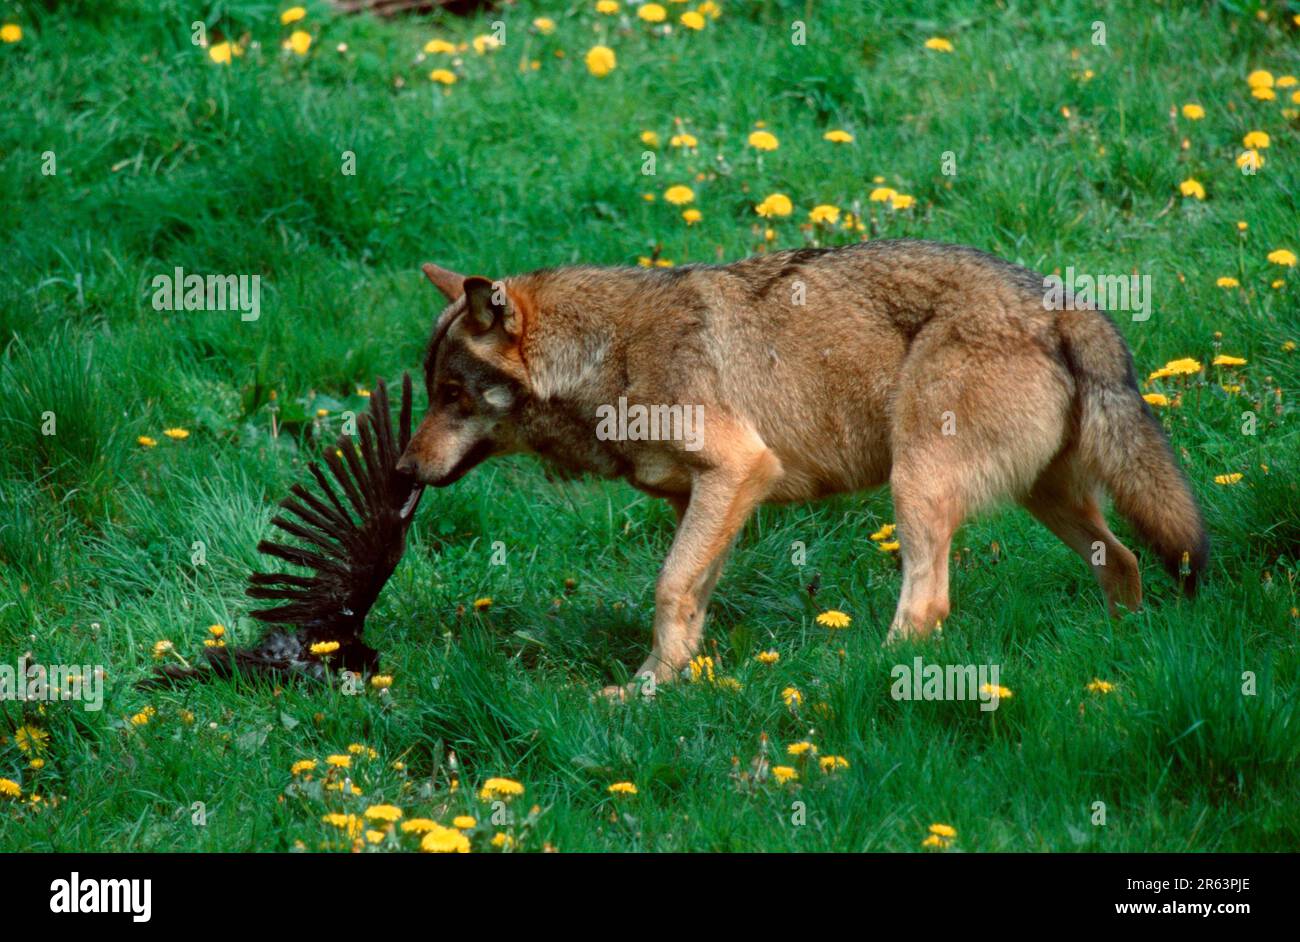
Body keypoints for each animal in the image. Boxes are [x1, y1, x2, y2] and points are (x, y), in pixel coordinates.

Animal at [395, 239, 1206, 686]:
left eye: (450, 394)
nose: (401, 472)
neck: (605, 357)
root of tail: (1063, 300)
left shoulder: (741, 470)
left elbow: (665, 589)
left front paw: (646, 691)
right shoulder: (709, 500)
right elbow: (688, 600)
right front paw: (669, 685)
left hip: (916, 487)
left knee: (928, 605)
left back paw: (862, 678)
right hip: (1047, 501)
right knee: (1124, 562)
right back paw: (1119, 652)